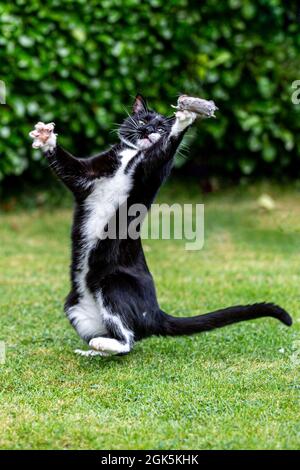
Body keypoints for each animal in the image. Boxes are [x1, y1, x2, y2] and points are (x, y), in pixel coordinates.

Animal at [29, 94, 292, 356]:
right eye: (143, 120)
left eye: (160, 127)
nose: (147, 130)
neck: (131, 155)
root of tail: (154, 314)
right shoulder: (89, 174)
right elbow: (69, 168)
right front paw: (45, 137)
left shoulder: (149, 171)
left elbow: (164, 149)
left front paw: (184, 118)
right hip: (74, 306)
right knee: (119, 336)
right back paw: (95, 349)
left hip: (113, 283)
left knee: (128, 340)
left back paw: (101, 345)